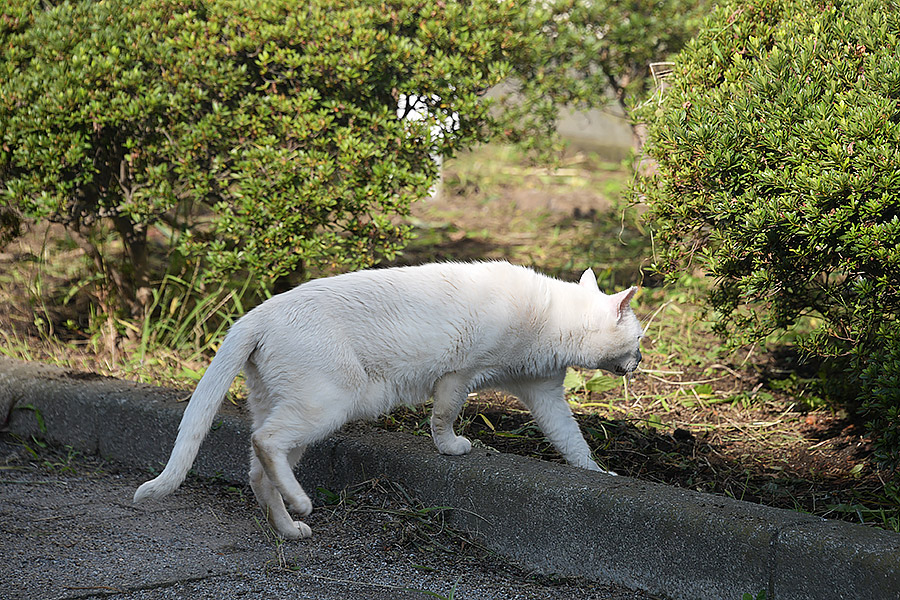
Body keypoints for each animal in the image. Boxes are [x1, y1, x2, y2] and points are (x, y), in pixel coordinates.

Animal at [132, 262, 640, 540]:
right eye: (639, 339)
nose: (639, 361)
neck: (552, 322)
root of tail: (256, 312)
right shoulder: (458, 374)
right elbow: (444, 417)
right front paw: (452, 447)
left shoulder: (544, 392)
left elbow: (572, 441)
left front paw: (601, 475)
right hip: (328, 403)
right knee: (266, 442)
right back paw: (302, 504)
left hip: (290, 407)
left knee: (259, 468)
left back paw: (290, 528)